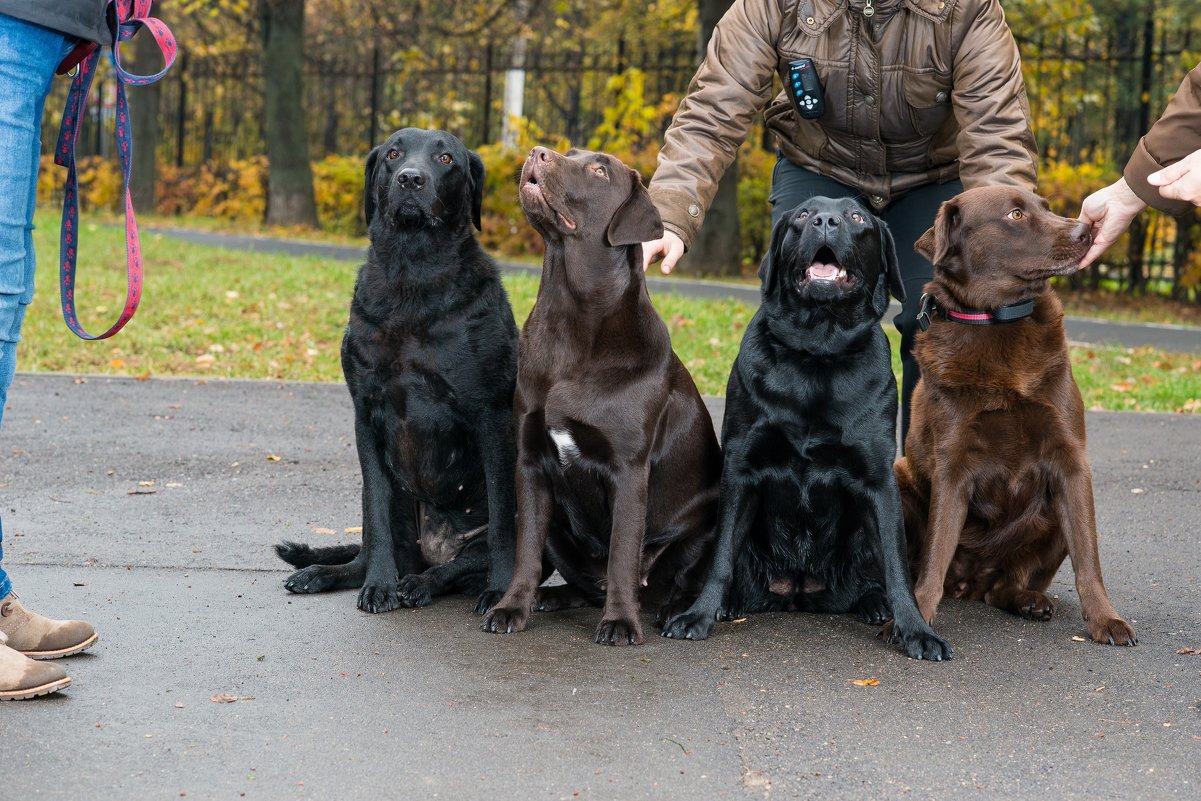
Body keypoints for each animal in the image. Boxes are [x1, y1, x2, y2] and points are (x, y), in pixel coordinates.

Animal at [276, 128, 521, 614]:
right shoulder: (365, 417)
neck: (414, 275)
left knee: (457, 568)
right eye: (393, 154)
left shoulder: (492, 415)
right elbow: (377, 522)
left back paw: (423, 584)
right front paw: (379, 585)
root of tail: (436, 548)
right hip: (397, 507)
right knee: (374, 545)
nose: (410, 178)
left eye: (446, 159)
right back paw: (327, 573)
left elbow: (503, 523)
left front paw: (501, 593)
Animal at [480, 145, 720, 643]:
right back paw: (552, 597)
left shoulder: (628, 468)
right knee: (581, 580)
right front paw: (511, 608)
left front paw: (621, 621)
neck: (571, 317)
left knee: (672, 578)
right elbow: (526, 552)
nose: (537, 151)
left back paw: (673, 611)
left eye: (598, 170)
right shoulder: (530, 462)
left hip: (704, 528)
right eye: (568, 154)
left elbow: (623, 550)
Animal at [662, 196, 951, 662]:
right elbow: (721, 558)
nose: (825, 221)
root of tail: (797, 590)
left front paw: (915, 630)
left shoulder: (877, 482)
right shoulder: (741, 470)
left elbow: (896, 567)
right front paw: (699, 614)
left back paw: (874, 603)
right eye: (801, 215)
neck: (818, 350)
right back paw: (729, 604)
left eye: (857, 217)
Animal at [903, 184, 1133, 648]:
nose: (1085, 230)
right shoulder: (951, 467)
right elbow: (934, 555)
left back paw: (1028, 600)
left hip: (1051, 517)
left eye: (1045, 207)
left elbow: (1089, 559)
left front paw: (1105, 619)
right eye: (1014, 215)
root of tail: (968, 584)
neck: (997, 320)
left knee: (1003, 587)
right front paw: (918, 617)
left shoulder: (1071, 463)